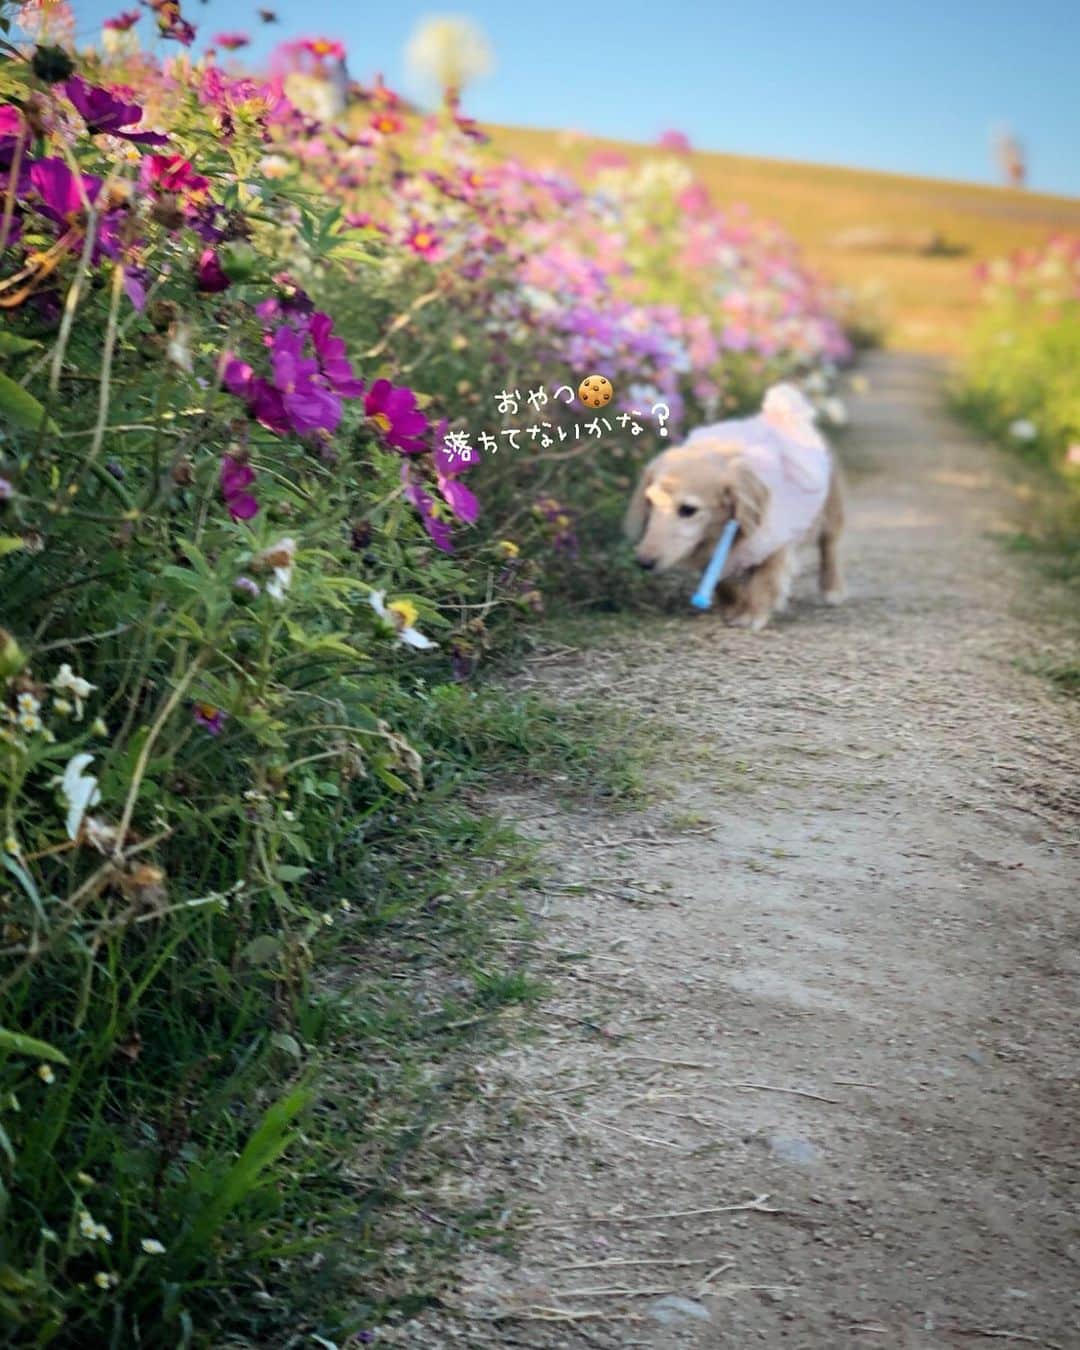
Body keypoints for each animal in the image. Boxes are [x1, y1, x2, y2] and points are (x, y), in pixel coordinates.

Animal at [623, 383, 842, 629]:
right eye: (650, 502)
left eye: (688, 510)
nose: (643, 562)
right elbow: (721, 581)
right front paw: (733, 605)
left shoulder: (776, 541)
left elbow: (765, 578)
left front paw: (753, 613)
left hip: (830, 512)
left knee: (829, 547)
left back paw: (832, 588)